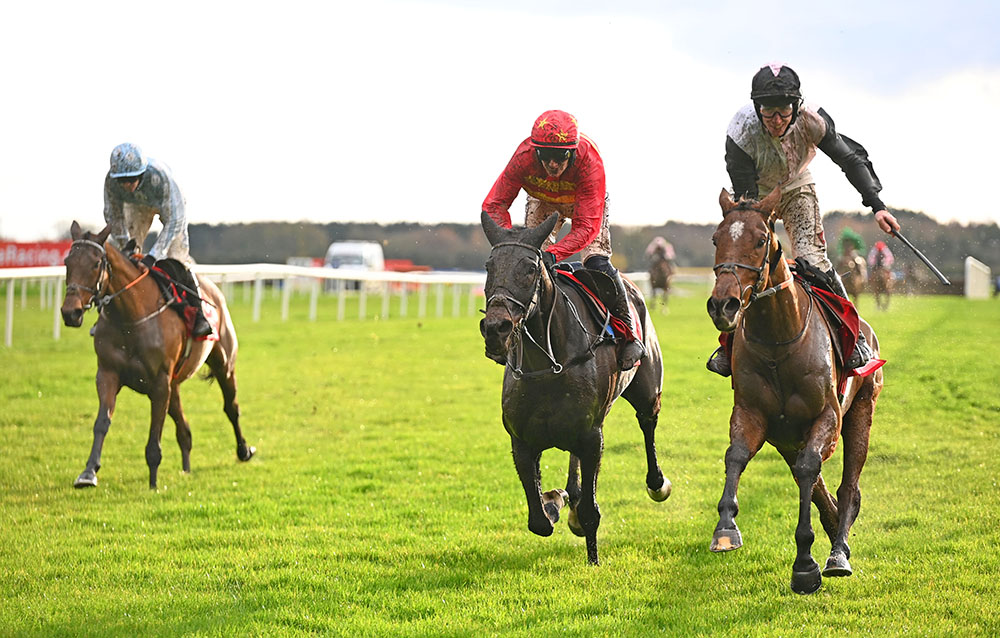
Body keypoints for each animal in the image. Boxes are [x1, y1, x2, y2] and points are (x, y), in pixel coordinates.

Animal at [60, 222, 256, 492]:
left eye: (96, 263)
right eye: (67, 261)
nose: (70, 312)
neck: (130, 318)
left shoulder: (160, 383)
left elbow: (155, 433)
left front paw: (153, 481)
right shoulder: (108, 374)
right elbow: (102, 422)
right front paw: (88, 473)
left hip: (223, 364)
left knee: (231, 407)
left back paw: (243, 450)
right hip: (175, 384)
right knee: (185, 429)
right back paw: (186, 468)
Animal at [478, 214, 672, 564]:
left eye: (530, 268)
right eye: (489, 266)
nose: (496, 328)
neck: (548, 364)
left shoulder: (592, 436)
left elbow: (590, 512)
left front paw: (592, 558)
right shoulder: (521, 441)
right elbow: (539, 519)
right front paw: (556, 500)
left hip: (647, 389)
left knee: (648, 423)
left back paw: (657, 483)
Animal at [704, 189, 884, 596]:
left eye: (760, 240)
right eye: (716, 239)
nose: (723, 305)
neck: (777, 341)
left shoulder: (827, 417)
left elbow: (809, 470)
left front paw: (805, 565)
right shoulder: (753, 415)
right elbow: (736, 457)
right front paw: (725, 529)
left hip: (861, 411)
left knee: (848, 486)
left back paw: (838, 552)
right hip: (787, 437)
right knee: (817, 485)